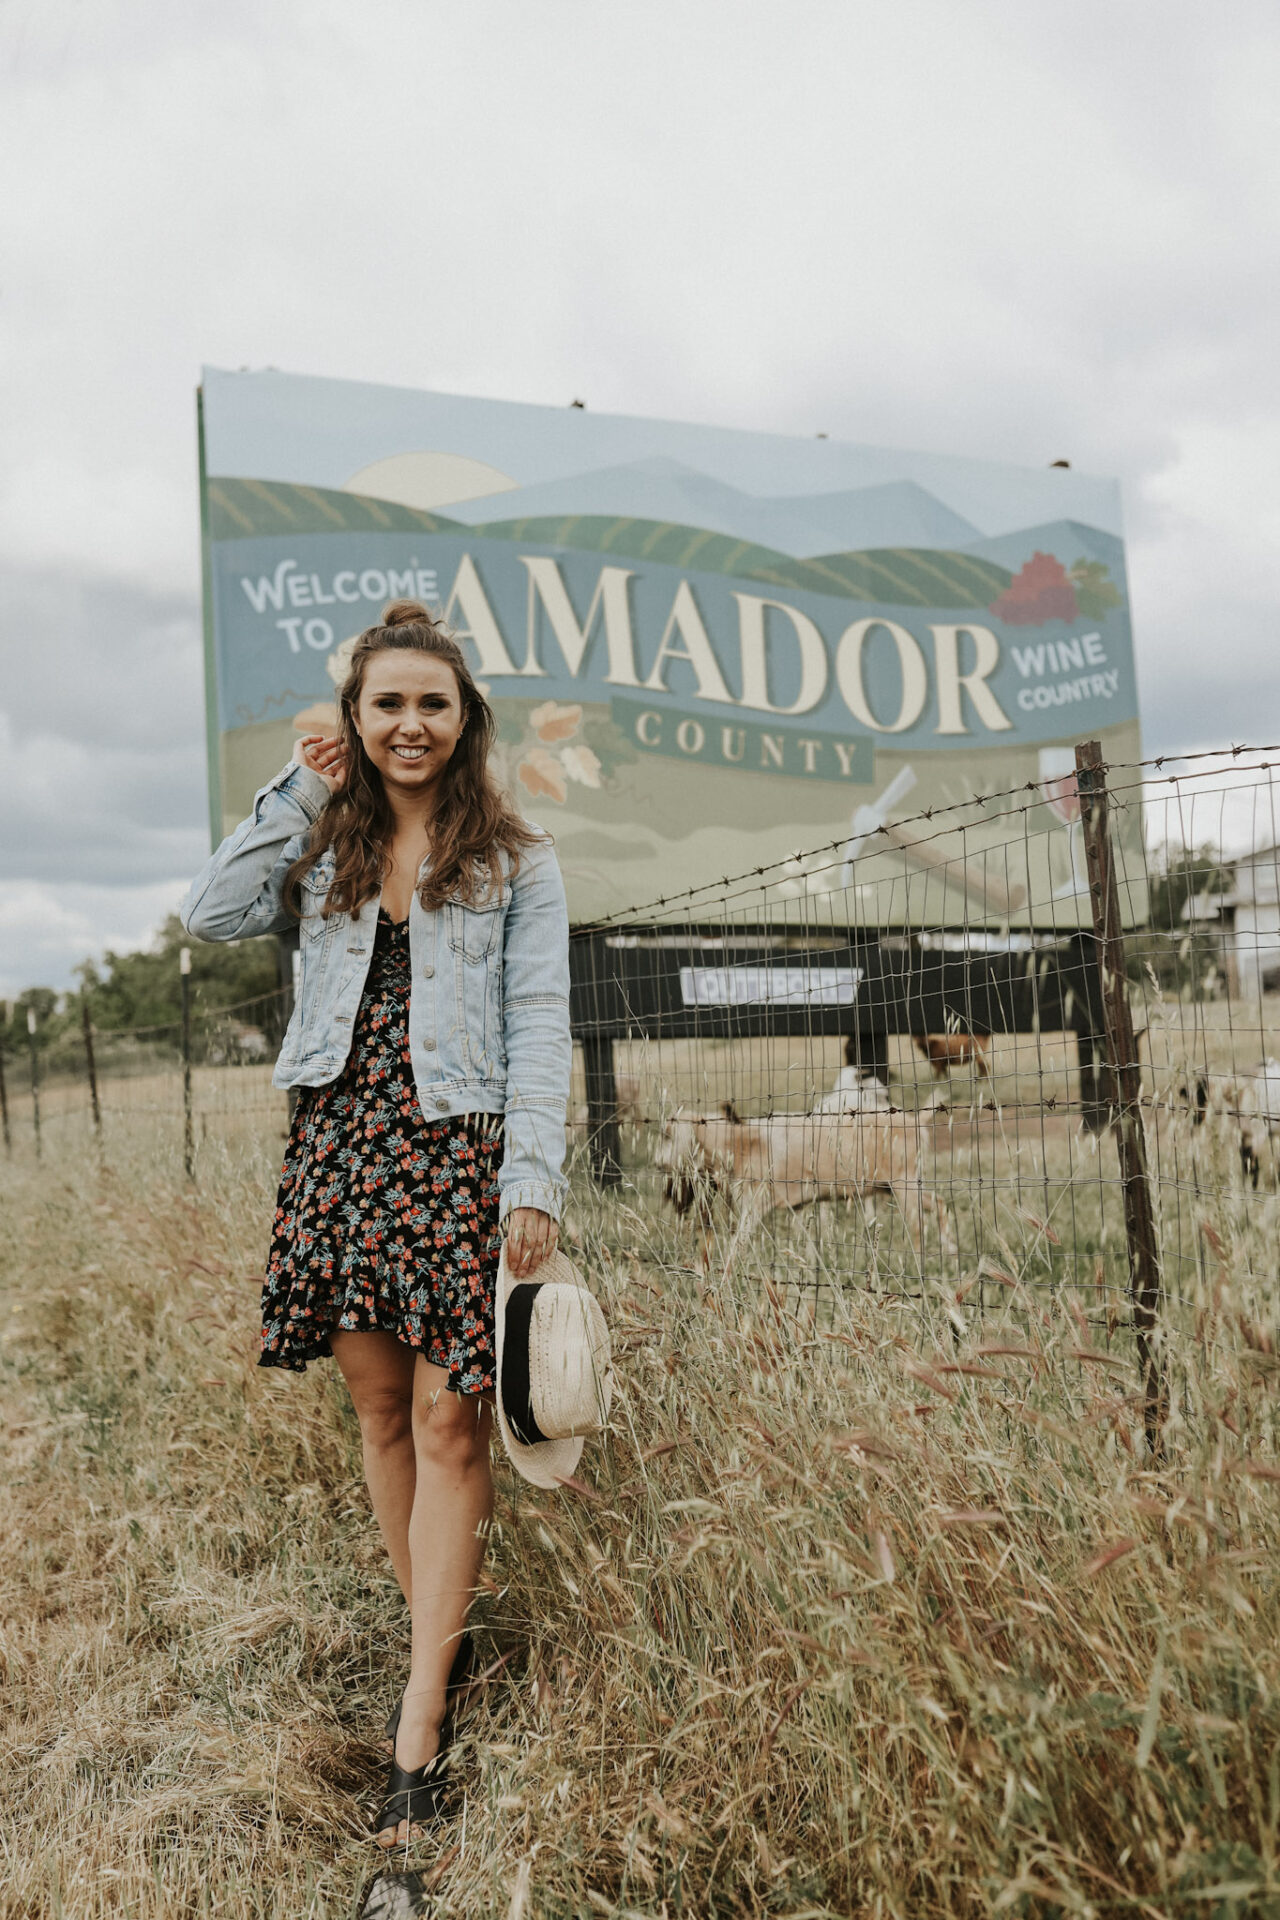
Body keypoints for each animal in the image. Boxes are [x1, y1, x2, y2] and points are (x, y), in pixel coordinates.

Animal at [656, 1105, 948, 1267]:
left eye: (668, 1135)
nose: (657, 1163)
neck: (740, 1142)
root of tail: (916, 1121)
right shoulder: (796, 1205)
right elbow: (807, 1244)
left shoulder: (754, 1204)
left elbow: (736, 1248)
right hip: (893, 1184)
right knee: (938, 1204)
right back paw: (950, 1252)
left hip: (904, 1183)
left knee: (917, 1226)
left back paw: (918, 1265)